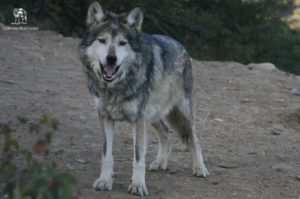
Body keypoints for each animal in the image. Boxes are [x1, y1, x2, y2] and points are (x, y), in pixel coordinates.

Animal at [77, 1, 209, 197]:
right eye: (102, 40)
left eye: (122, 43)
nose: (111, 58)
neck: (115, 86)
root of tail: (180, 44)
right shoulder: (105, 117)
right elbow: (106, 155)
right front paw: (104, 181)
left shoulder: (137, 120)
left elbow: (138, 157)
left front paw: (138, 185)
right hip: (153, 115)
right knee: (166, 132)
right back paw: (161, 162)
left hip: (181, 113)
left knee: (194, 138)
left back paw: (200, 168)